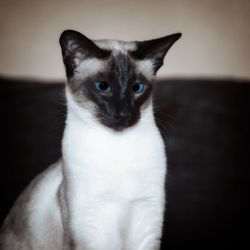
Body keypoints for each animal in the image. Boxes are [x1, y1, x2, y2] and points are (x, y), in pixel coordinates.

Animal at [0, 29, 181, 250]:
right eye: (102, 86)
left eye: (137, 88)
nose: (124, 113)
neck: (119, 147)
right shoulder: (88, 232)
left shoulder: (146, 227)